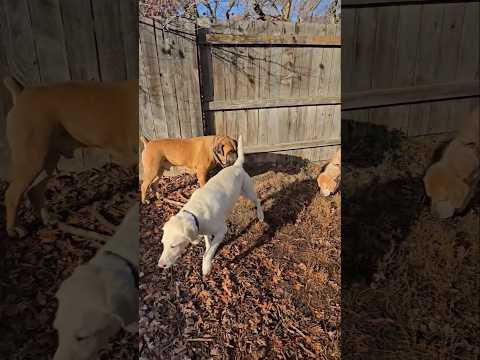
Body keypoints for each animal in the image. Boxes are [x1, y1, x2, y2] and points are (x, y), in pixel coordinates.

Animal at [3, 76, 138, 238]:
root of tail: (22, 92)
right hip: (32, 160)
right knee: (12, 194)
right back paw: (14, 229)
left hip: (47, 160)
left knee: (35, 191)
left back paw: (48, 219)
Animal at [158, 135, 262, 276]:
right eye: (163, 244)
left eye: (173, 245)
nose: (160, 265)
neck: (193, 213)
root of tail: (236, 166)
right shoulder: (204, 230)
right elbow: (208, 244)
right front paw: (207, 249)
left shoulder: (222, 230)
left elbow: (209, 252)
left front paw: (206, 266)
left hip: (247, 191)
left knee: (258, 201)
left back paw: (260, 215)